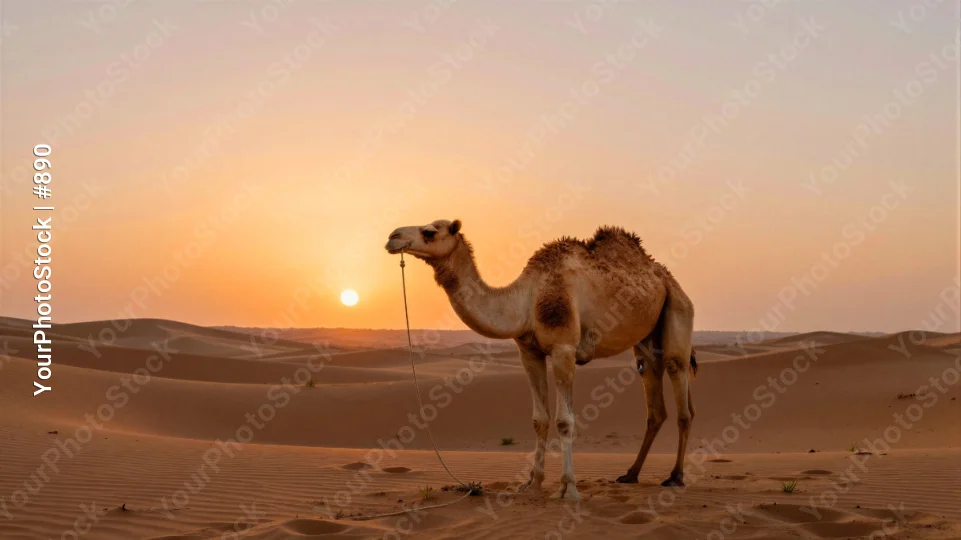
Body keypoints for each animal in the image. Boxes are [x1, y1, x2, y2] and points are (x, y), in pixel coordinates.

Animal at [385, 219, 696, 500]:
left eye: (429, 231)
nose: (392, 237)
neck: (526, 300)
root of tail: (666, 278)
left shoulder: (563, 349)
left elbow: (564, 421)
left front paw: (568, 489)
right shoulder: (529, 352)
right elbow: (539, 420)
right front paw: (533, 484)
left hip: (678, 308)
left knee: (679, 384)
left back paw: (675, 476)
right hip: (646, 340)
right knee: (654, 398)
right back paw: (630, 474)